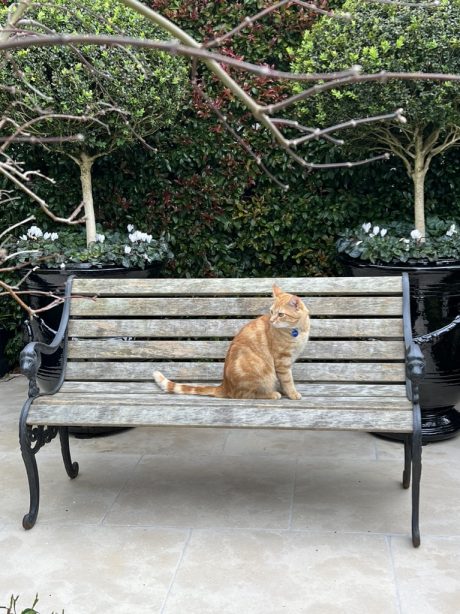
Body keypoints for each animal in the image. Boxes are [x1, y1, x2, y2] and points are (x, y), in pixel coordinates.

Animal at [154, 286, 310, 402]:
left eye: (281, 314)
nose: (271, 320)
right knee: (246, 395)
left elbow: (284, 381)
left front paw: (286, 391)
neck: (298, 330)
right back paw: (272, 394)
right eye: (271, 312)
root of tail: (225, 385)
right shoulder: (282, 361)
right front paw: (292, 393)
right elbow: (288, 380)